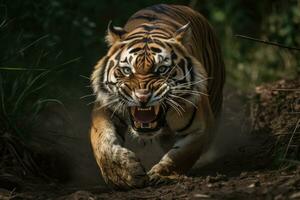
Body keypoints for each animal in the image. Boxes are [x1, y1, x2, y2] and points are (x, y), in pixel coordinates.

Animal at [89, 4, 225, 189]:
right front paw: (124, 174)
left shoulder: (201, 128)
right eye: (127, 70)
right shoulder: (104, 110)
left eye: (162, 69)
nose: (142, 97)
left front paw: (161, 175)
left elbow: (181, 155)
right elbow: (103, 145)